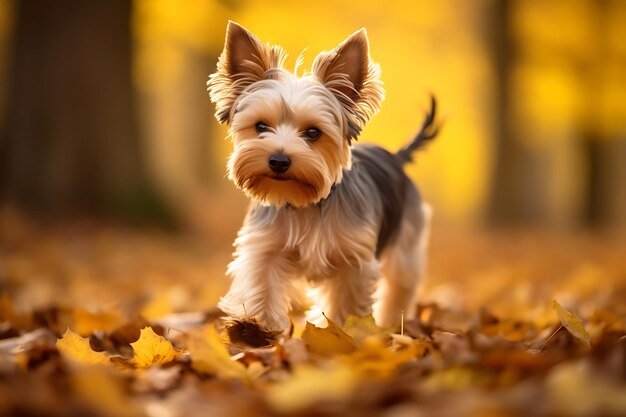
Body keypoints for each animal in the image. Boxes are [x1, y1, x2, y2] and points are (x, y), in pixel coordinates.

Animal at [207, 22, 436, 330]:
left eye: (313, 132)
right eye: (261, 126)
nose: (279, 160)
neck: (305, 203)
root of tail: (396, 156)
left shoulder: (353, 258)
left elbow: (346, 302)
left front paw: (344, 332)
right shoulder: (265, 248)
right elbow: (262, 284)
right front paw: (260, 329)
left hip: (407, 239)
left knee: (401, 283)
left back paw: (392, 323)